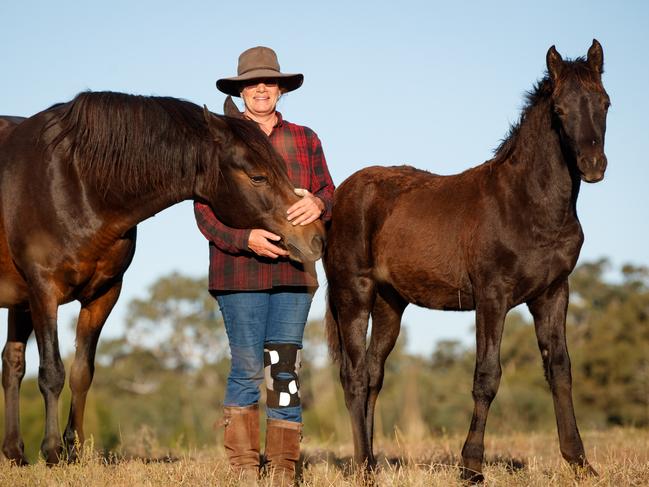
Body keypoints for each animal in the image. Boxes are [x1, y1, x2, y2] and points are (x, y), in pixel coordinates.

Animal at [0, 91, 324, 466]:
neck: (75, 183)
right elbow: (52, 372)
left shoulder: (103, 294)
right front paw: (53, 452)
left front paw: (76, 449)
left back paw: (14, 452)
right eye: (258, 177)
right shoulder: (44, 290)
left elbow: (82, 373)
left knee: (12, 364)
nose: (315, 237)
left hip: (20, 303)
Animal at [324, 40, 608, 482]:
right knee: (353, 377)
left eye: (605, 103)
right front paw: (471, 467)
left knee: (372, 375)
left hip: (390, 303)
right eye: (560, 110)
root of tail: (339, 196)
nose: (594, 167)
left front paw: (581, 464)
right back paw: (363, 471)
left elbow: (560, 371)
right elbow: (487, 376)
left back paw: (370, 460)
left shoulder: (553, 293)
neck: (527, 204)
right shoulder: (492, 296)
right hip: (353, 292)